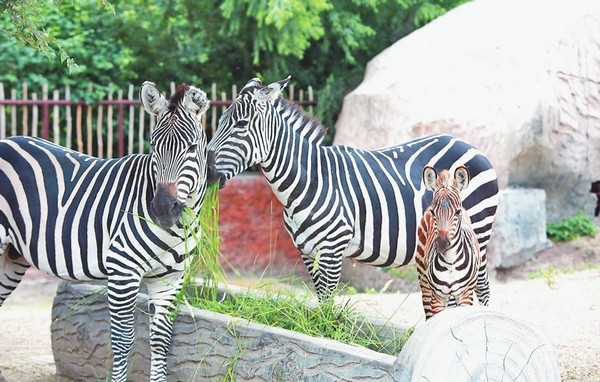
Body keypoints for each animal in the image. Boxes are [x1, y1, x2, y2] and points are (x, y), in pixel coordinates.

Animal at [0, 80, 211, 380]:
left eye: (192, 148)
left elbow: (160, 340)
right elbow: (123, 340)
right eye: (153, 146)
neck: (180, 225)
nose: (161, 208)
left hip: (12, 255)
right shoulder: (123, 270)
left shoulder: (171, 279)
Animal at [414, 166, 486, 318]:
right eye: (433, 213)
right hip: (424, 280)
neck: (451, 263)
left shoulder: (465, 295)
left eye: (457, 212)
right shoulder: (438, 297)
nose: (442, 244)